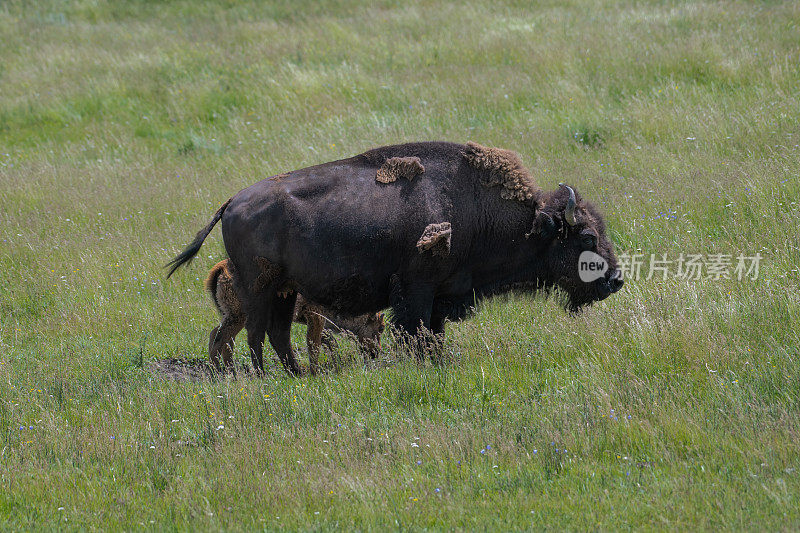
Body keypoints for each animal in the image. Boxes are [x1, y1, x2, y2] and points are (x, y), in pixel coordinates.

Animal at [205, 260, 382, 372]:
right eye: (380, 328)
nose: (377, 352)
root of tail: (222, 268)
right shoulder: (315, 316)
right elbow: (314, 343)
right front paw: (315, 370)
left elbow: (329, 341)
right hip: (239, 316)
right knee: (221, 338)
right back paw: (219, 372)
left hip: (231, 315)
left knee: (220, 335)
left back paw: (230, 371)